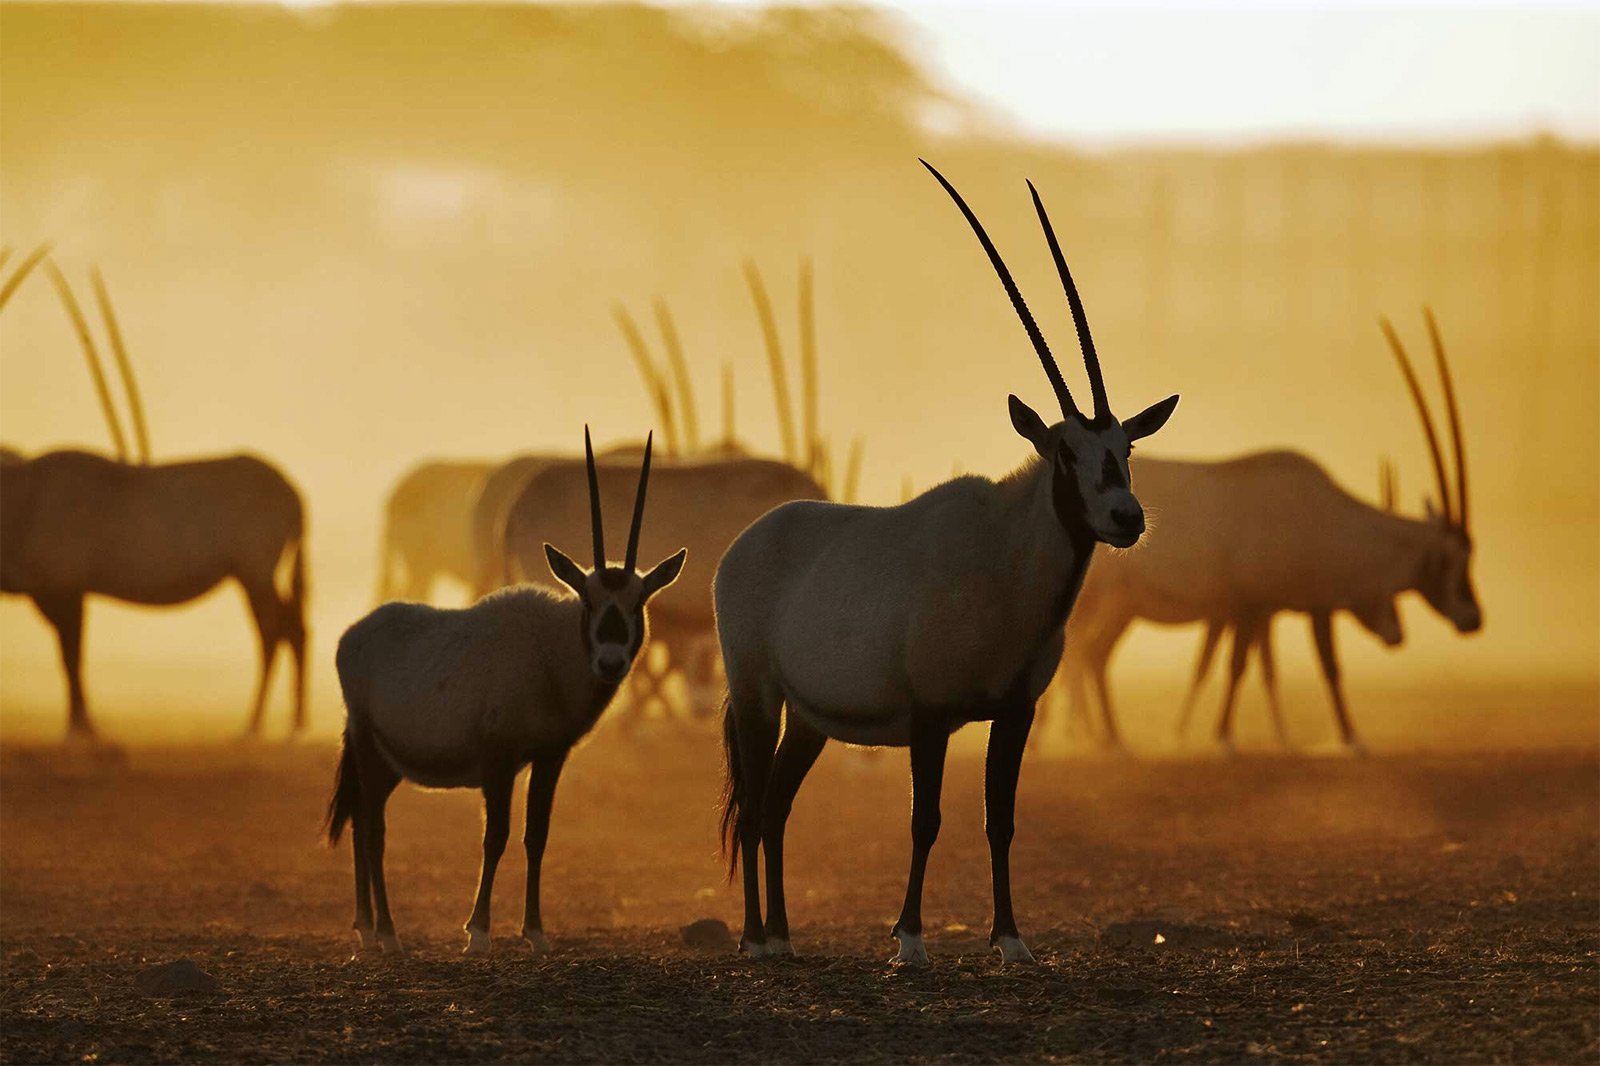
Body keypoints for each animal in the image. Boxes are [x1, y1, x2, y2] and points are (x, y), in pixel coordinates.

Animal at [328, 428, 684, 947]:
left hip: (387, 762)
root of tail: (352, 637)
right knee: (372, 830)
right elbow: (494, 837)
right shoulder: (497, 761)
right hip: (369, 749)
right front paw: (477, 931)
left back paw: (369, 929)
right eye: (588, 598)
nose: (610, 661)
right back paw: (386, 934)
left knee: (360, 824)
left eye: (638, 601)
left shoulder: (550, 756)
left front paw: (535, 931)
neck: (550, 649)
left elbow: (536, 835)